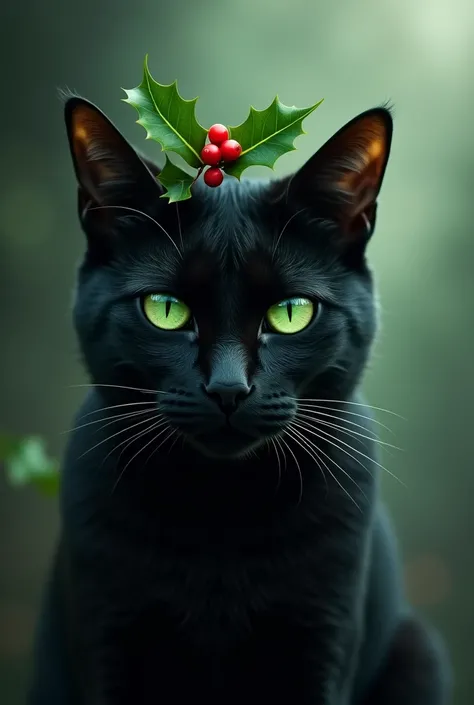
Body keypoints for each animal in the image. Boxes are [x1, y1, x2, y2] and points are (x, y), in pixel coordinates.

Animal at [27, 95, 450, 704]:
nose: (228, 388)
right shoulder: (107, 631)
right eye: (165, 309)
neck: (220, 514)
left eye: (291, 314)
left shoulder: (322, 636)